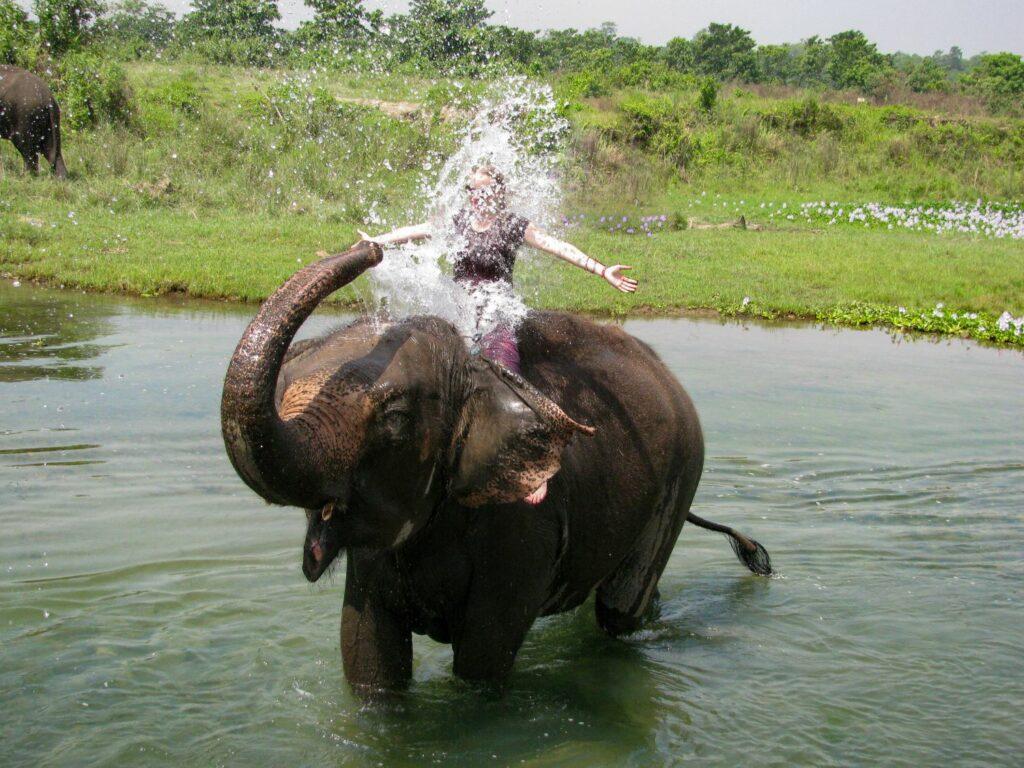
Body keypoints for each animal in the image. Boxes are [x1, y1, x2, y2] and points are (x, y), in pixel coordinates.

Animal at [221, 242, 771, 691]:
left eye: (395, 417)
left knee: (618, 611)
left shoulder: (526, 528)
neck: (476, 371)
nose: (370, 248)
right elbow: (367, 658)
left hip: (682, 473)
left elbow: (482, 660)